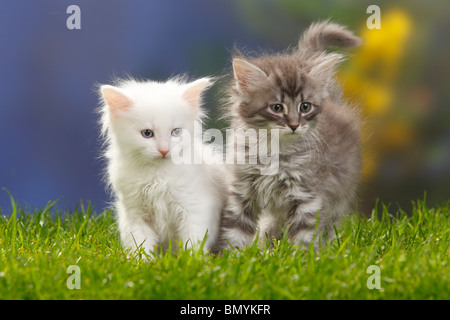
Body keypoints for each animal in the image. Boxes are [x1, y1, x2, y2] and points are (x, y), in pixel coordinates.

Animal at [98, 77, 225, 255]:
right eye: (147, 133)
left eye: (176, 132)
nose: (164, 150)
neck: (157, 175)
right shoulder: (135, 214)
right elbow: (140, 245)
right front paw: (141, 261)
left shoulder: (194, 207)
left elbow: (192, 241)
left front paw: (191, 259)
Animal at [217, 20, 362, 250]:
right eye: (277, 107)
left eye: (305, 106)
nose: (294, 124)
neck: (272, 150)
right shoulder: (242, 191)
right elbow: (235, 232)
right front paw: (232, 257)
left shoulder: (307, 195)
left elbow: (303, 237)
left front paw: (302, 258)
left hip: (339, 195)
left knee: (331, 225)